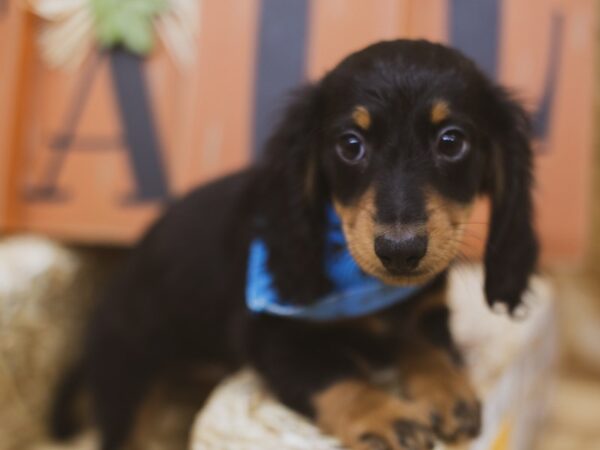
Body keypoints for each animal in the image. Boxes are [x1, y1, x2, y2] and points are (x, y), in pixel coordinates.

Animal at [51, 39, 540, 450]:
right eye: (350, 144)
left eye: (452, 141)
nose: (400, 250)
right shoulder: (270, 335)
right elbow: (333, 374)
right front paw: (384, 415)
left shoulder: (425, 309)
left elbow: (431, 347)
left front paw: (448, 391)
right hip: (126, 378)